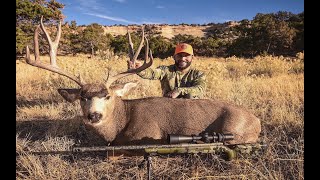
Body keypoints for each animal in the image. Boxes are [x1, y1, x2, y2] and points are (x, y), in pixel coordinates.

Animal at [25, 17, 260, 146]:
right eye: (82, 97)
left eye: (107, 96)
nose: (94, 115)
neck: (122, 122)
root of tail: (257, 120)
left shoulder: (150, 134)